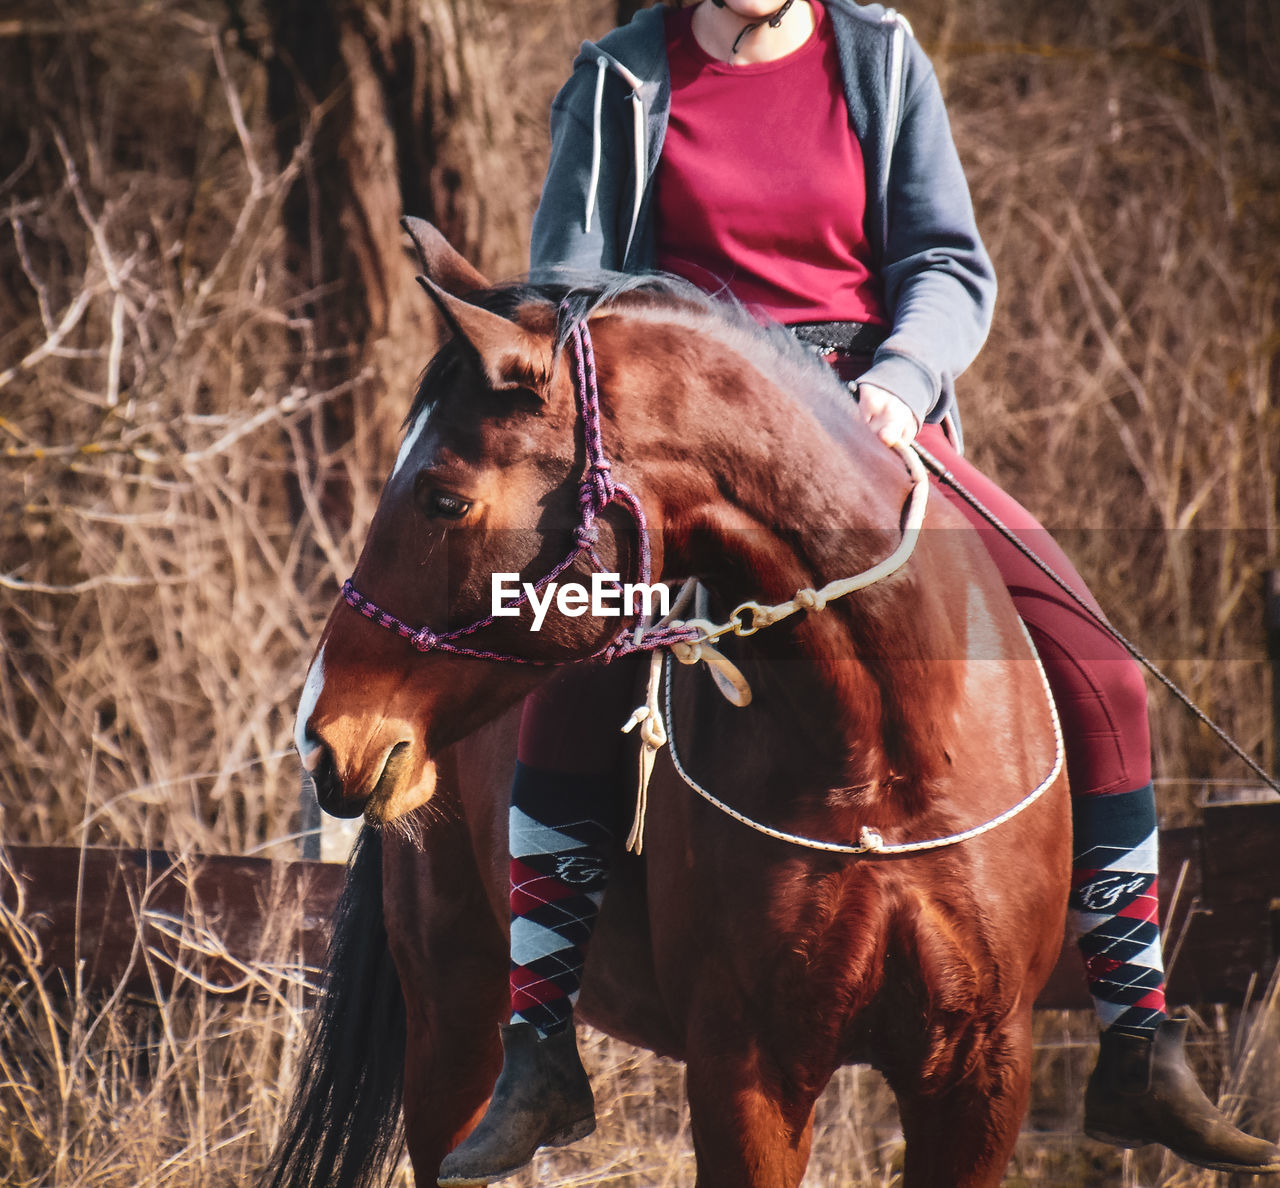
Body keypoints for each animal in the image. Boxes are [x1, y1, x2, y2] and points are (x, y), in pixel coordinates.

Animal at [275, 225, 1075, 1188]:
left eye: (443, 497)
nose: (321, 735)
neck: (884, 759)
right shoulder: (750, 1073)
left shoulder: (979, 1074)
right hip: (450, 1021)